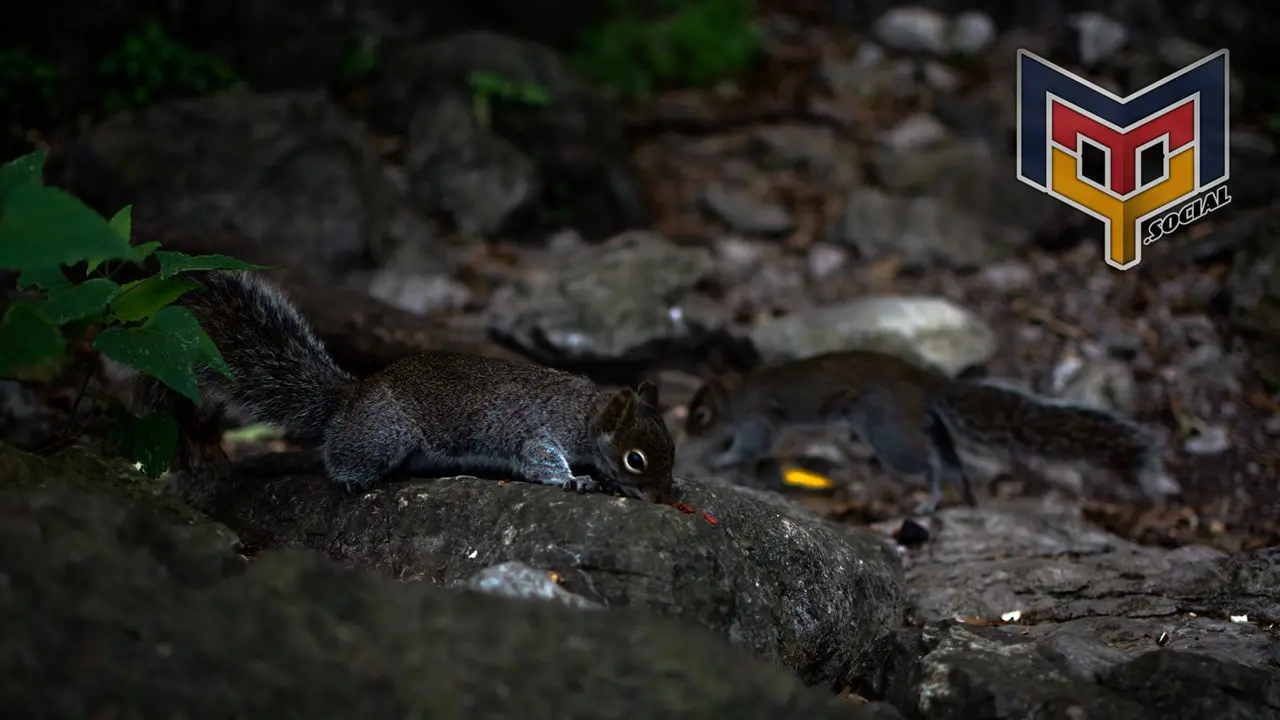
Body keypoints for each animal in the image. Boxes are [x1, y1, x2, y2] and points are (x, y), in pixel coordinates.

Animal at [124, 269, 675, 499]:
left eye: (670, 449)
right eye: (636, 459)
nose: (665, 496)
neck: (585, 411)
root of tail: (351, 398)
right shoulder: (536, 431)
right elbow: (537, 460)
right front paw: (574, 479)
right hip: (386, 433)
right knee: (341, 457)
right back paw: (352, 479)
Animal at [680, 348, 1177, 512]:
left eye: (700, 414)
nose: (687, 435)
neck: (737, 393)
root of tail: (926, 383)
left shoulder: (758, 419)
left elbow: (751, 446)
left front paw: (721, 459)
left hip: (888, 433)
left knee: (931, 464)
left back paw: (930, 500)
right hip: (918, 425)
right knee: (951, 459)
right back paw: (964, 497)